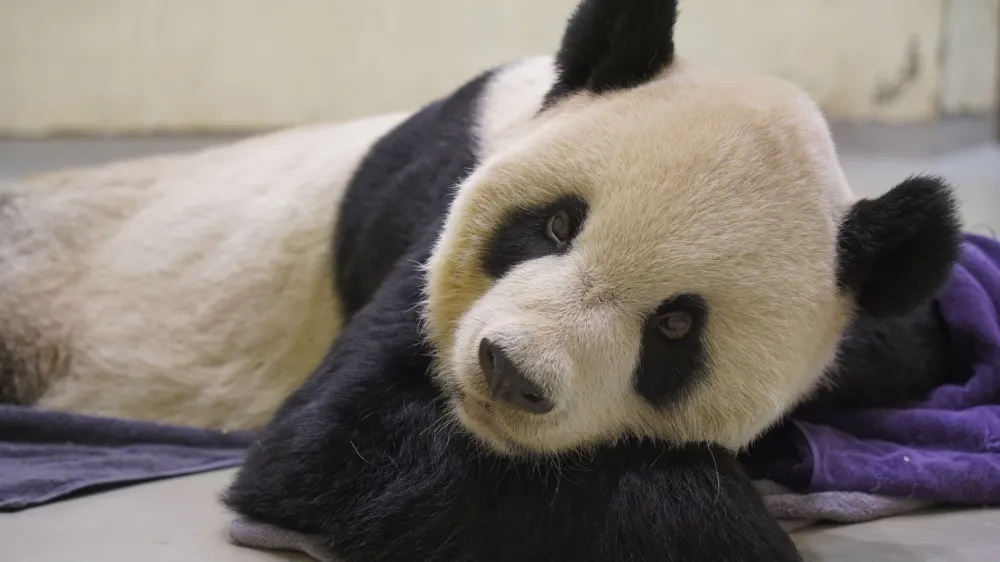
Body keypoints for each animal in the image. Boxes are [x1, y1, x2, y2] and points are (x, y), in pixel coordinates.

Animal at [1, 0, 960, 559]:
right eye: (557, 225)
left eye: (676, 327)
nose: (511, 373)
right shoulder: (435, 221)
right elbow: (326, 441)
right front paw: (731, 534)